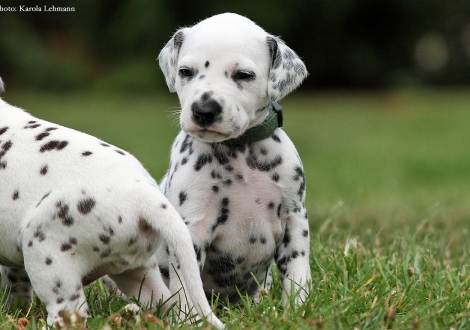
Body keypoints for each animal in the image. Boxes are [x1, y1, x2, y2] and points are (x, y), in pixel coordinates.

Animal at [158, 12, 312, 310]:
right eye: (185, 72)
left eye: (244, 75)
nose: (204, 110)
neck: (239, 151)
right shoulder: (192, 225)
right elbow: (186, 286)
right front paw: (188, 316)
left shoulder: (294, 217)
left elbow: (297, 271)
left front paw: (298, 308)